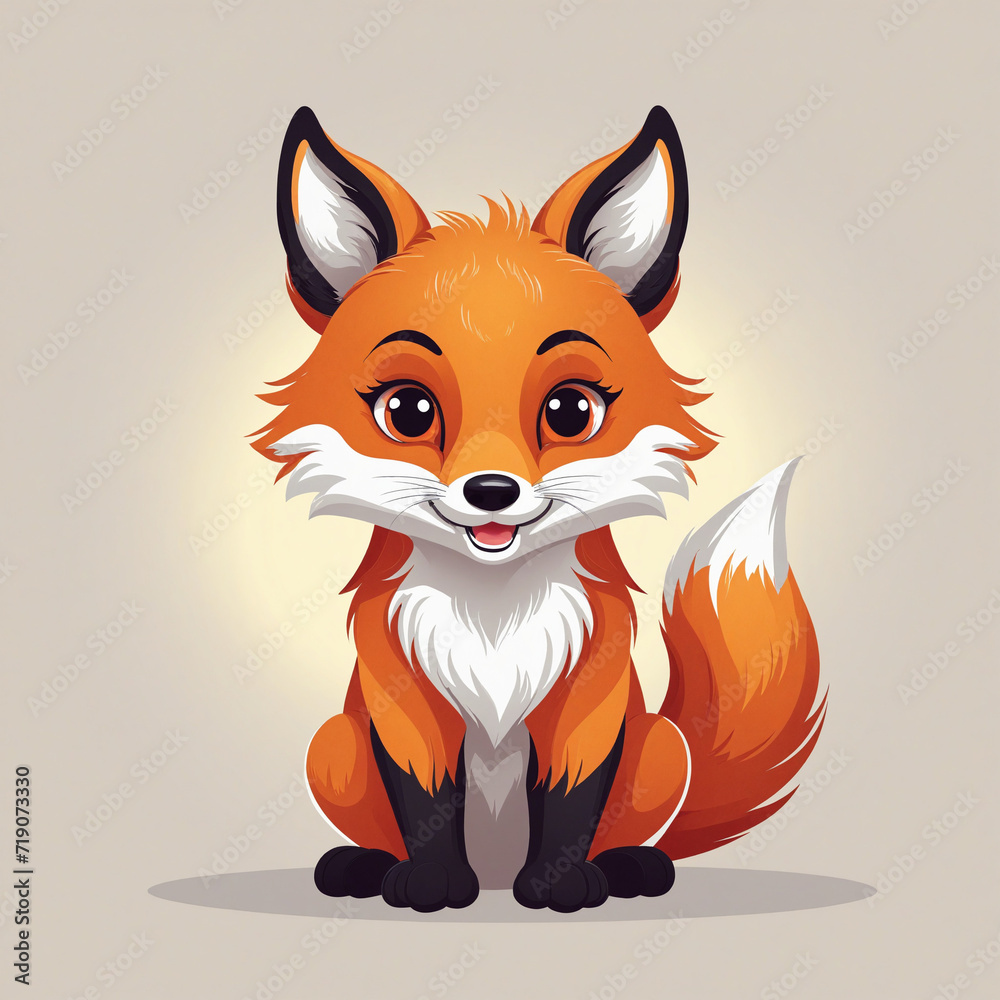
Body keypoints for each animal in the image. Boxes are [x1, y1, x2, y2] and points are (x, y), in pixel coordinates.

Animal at [251, 105, 826, 914]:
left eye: (570, 410)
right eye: (408, 410)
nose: (491, 491)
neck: (494, 615)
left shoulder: (591, 691)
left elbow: (571, 799)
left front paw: (561, 886)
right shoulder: (400, 692)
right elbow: (426, 798)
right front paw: (431, 884)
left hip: (662, 750)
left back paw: (631, 868)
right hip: (331, 745)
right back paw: (362, 866)